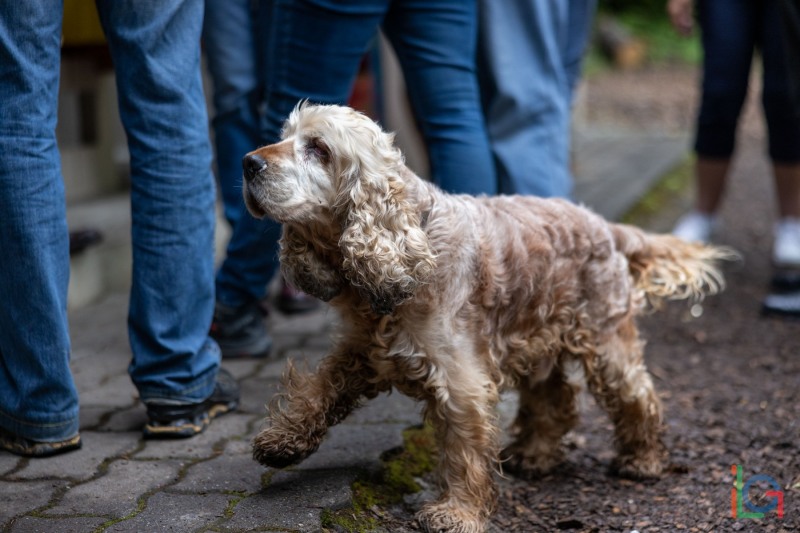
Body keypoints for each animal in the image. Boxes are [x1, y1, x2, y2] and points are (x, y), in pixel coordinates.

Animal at [247, 102, 728, 528]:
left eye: (319, 149)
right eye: (285, 135)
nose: (249, 163)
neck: (413, 240)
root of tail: (605, 225)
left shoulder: (461, 381)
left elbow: (464, 452)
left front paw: (457, 513)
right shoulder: (359, 349)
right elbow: (318, 390)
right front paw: (282, 441)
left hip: (608, 345)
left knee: (638, 397)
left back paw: (643, 460)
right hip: (538, 342)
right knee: (554, 399)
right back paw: (535, 456)